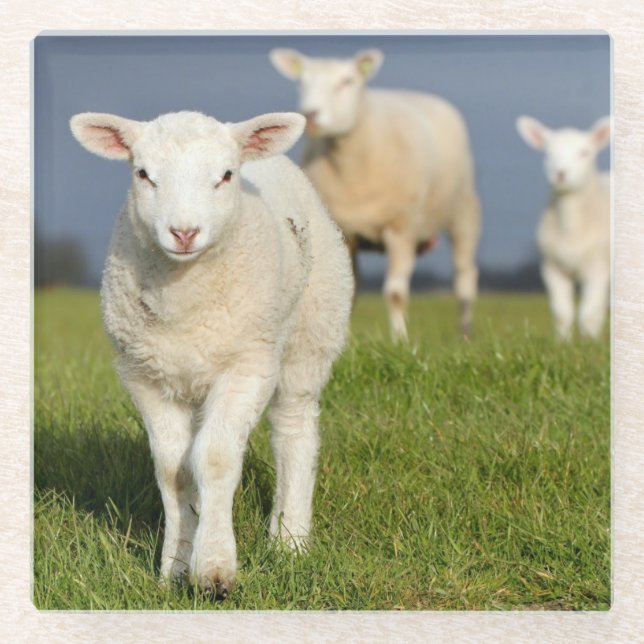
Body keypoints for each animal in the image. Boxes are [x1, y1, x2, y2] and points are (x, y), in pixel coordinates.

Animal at [69, 109, 354, 598]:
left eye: (225, 176)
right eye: (142, 174)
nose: (184, 232)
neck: (185, 300)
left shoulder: (247, 366)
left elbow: (216, 459)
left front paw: (215, 571)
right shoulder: (145, 376)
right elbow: (173, 469)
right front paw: (175, 567)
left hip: (312, 332)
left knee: (294, 430)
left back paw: (290, 539)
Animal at [269, 48, 481, 342]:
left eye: (347, 81)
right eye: (301, 82)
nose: (311, 114)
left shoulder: (401, 229)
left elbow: (395, 293)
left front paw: (400, 340)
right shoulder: (344, 234)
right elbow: (348, 289)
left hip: (463, 213)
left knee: (464, 277)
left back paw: (465, 332)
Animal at [516, 115, 611, 340]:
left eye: (584, 152)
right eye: (547, 153)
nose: (560, 174)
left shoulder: (598, 267)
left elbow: (589, 312)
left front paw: (589, 342)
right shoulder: (551, 267)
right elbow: (561, 312)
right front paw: (562, 342)